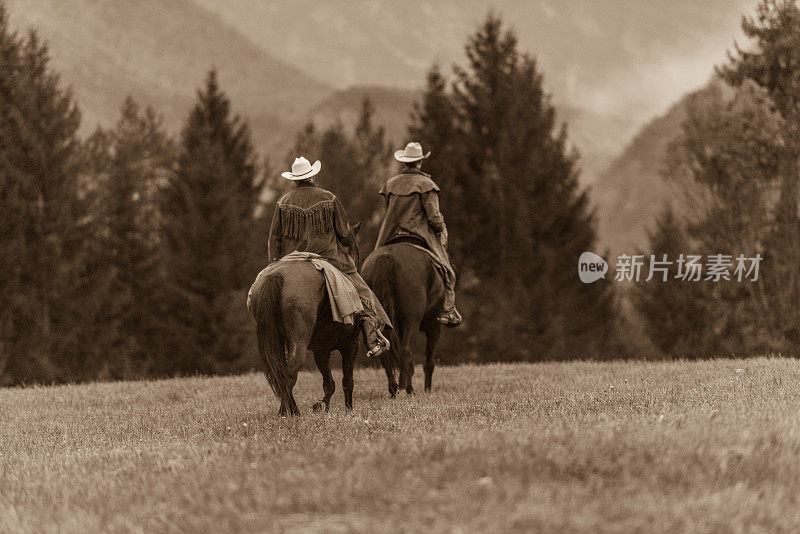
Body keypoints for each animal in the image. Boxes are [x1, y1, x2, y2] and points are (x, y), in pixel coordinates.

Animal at [248, 222, 364, 414]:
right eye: (355, 248)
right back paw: (289, 412)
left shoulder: (321, 349)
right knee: (291, 371)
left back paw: (288, 410)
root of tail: (278, 274)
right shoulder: (350, 344)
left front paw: (322, 406)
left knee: (281, 372)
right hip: (300, 340)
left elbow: (329, 383)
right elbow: (347, 381)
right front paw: (348, 409)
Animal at [362, 241, 444, 400]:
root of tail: (386, 257)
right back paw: (408, 390)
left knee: (387, 353)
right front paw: (427, 390)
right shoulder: (434, 326)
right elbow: (429, 361)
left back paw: (395, 389)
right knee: (406, 351)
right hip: (413, 321)